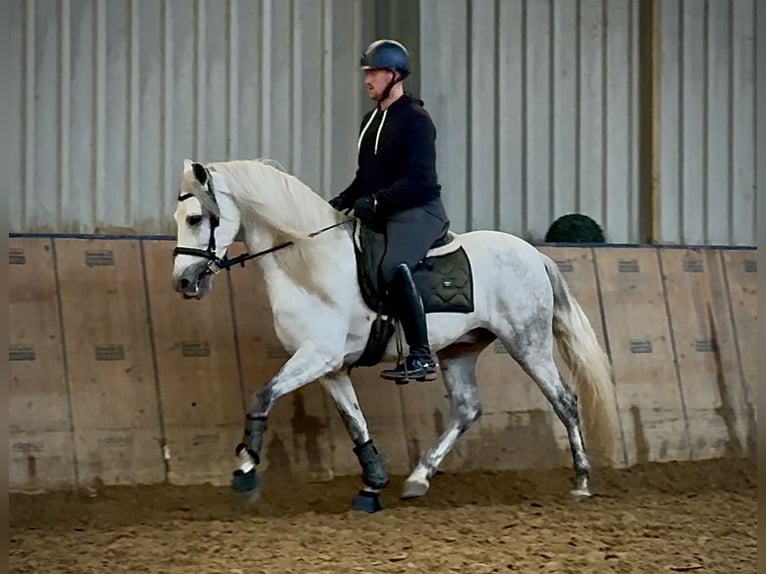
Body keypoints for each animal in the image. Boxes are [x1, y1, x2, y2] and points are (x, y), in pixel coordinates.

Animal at [170, 157, 619, 512]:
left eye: (195, 218)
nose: (183, 283)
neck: (310, 263)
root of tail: (532, 253)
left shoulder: (317, 355)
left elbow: (263, 395)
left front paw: (245, 472)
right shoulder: (331, 367)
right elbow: (356, 423)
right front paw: (372, 486)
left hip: (528, 343)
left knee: (564, 400)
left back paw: (581, 481)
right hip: (460, 349)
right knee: (467, 409)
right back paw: (418, 478)